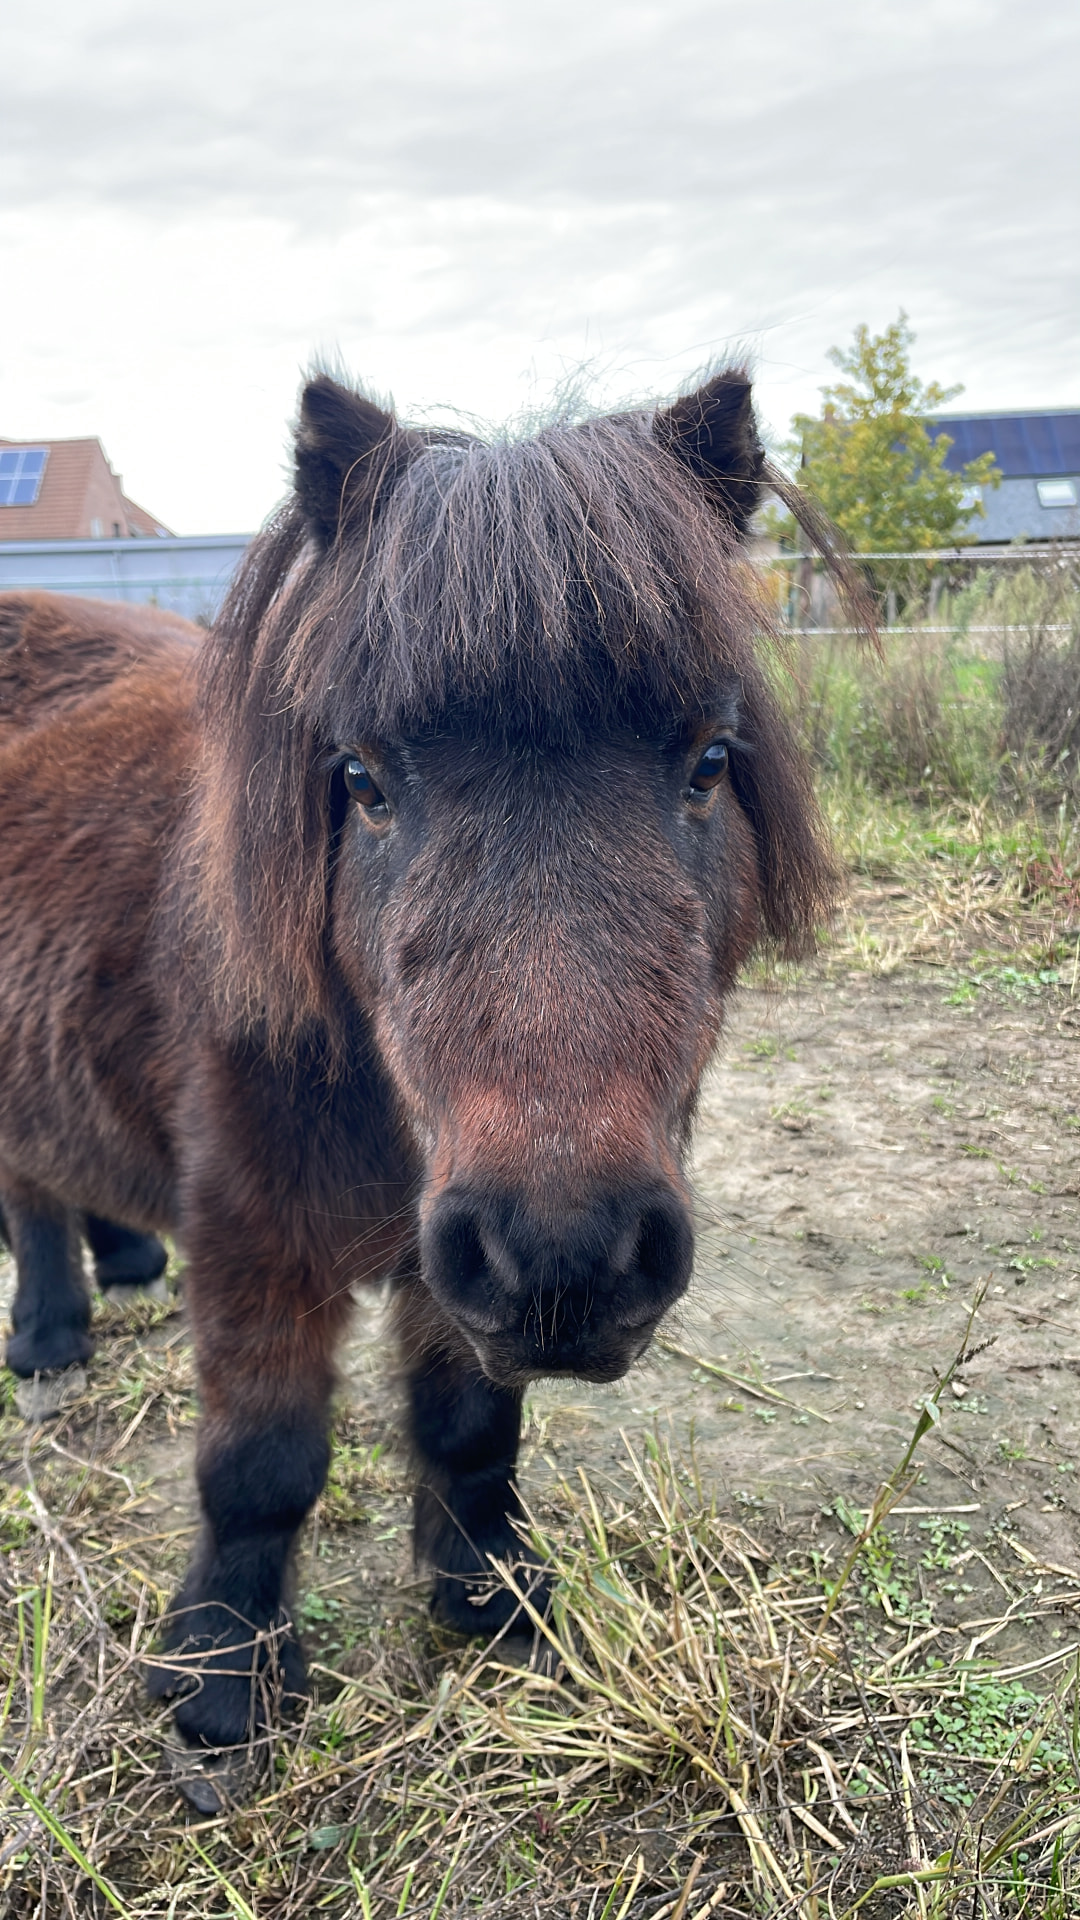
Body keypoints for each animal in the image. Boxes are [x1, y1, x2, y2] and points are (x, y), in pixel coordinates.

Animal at [0, 369, 853, 1782]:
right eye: (361, 780)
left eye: (709, 763)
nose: (572, 1260)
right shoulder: (257, 1240)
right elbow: (261, 1463)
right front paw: (221, 1687)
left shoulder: (450, 1256)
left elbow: (467, 1434)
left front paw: (491, 1600)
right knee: (27, 1192)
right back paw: (51, 1335)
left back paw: (122, 1262)